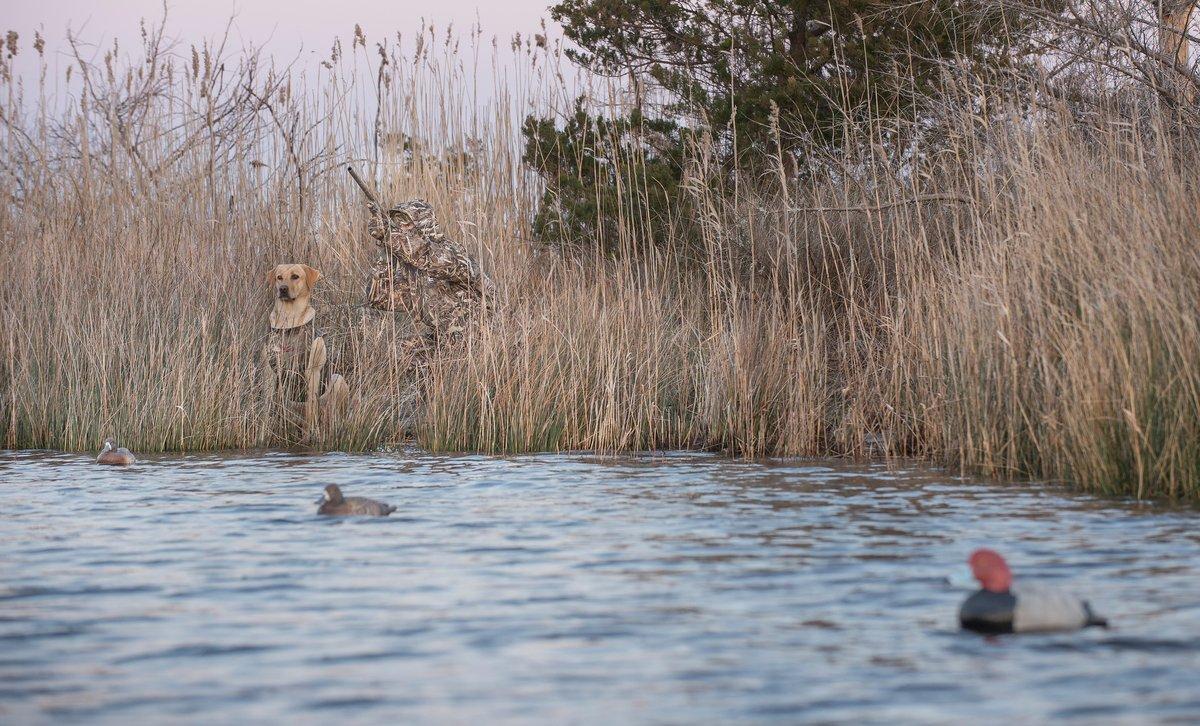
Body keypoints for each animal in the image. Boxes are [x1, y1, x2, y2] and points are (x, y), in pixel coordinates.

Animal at [265, 262, 350, 439]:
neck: (289, 323)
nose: (282, 289)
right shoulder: (269, 373)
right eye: (279, 277)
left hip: (337, 379)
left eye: (295, 276)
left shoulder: (312, 372)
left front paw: (312, 434)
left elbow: (312, 407)